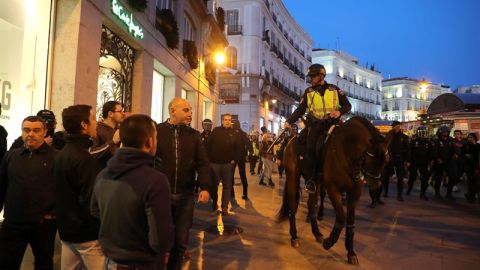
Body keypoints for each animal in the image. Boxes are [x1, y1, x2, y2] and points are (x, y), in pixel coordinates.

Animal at [278, 116, 390, 264]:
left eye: (386, 161)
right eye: (370, 159)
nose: (376, 185)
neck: (346, 152)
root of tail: (291, 140)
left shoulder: (354, 194)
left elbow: (350, 222)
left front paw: (351, 252)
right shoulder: (333, 189)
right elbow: (341, 218)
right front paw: (329, 242)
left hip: (314, 183)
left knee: (311, 205)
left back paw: (317, 233)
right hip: (293, 177)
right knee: (292, 205)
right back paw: (295, 237)